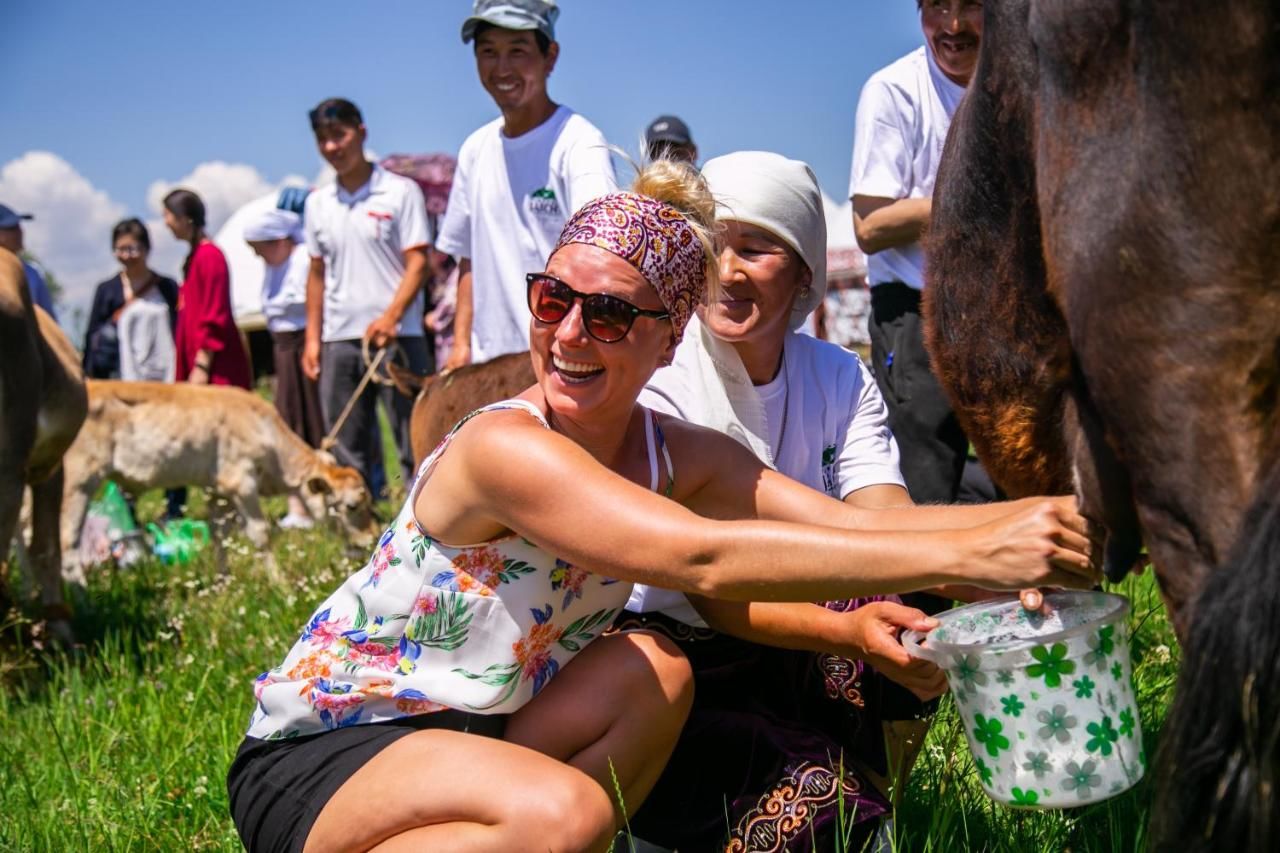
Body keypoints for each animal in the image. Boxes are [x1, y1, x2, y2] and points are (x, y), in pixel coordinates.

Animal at [61, 379, 378, 573]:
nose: (372, 538)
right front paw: (280, 583)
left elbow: (218, 536)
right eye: (352, 506)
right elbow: (260, 534)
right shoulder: (241, 482)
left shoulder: (216, 489)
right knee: (66, 546)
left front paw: (223, 582)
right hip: (76, 482)